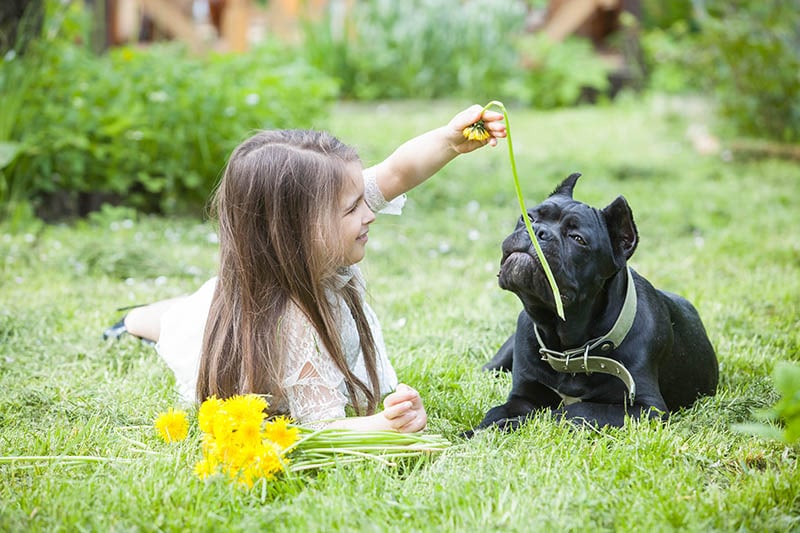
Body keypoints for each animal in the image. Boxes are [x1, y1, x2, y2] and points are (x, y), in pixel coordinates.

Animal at [468, 175, 720, 432]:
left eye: (578, 239)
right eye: (527, 217)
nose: (538, 230)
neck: (567, 346)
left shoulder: (646, 409)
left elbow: (570, 411)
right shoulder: (523, 395)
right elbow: (499, 411)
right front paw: (479, 430)